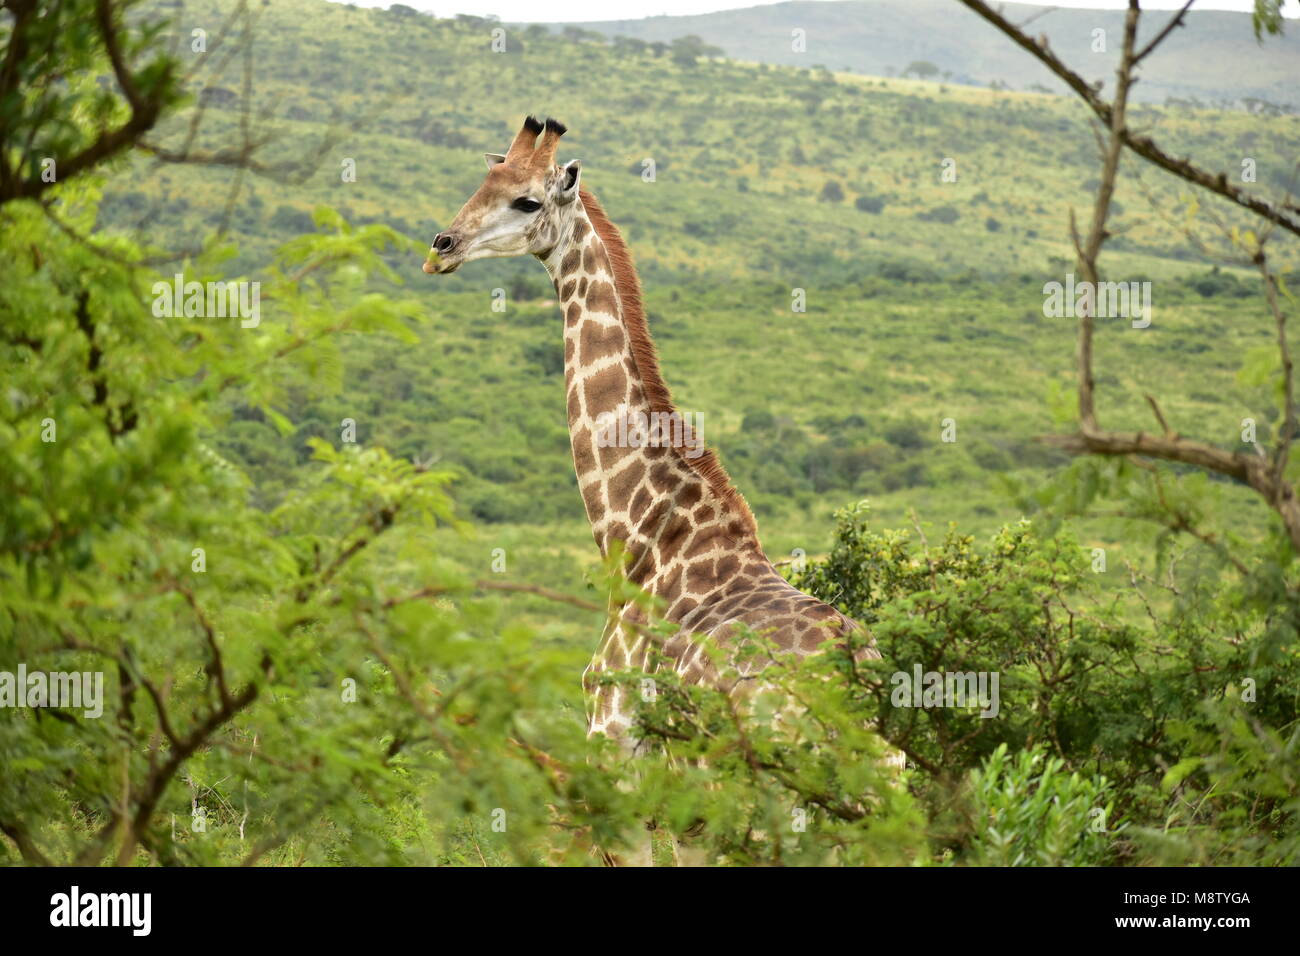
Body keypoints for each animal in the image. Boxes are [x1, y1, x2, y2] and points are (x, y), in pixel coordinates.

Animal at [426, 115, 894, 863]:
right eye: (484, 180)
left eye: (527, 201)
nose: (441, 247)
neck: (638, 532)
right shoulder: (686, 815)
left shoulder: (626, 779)